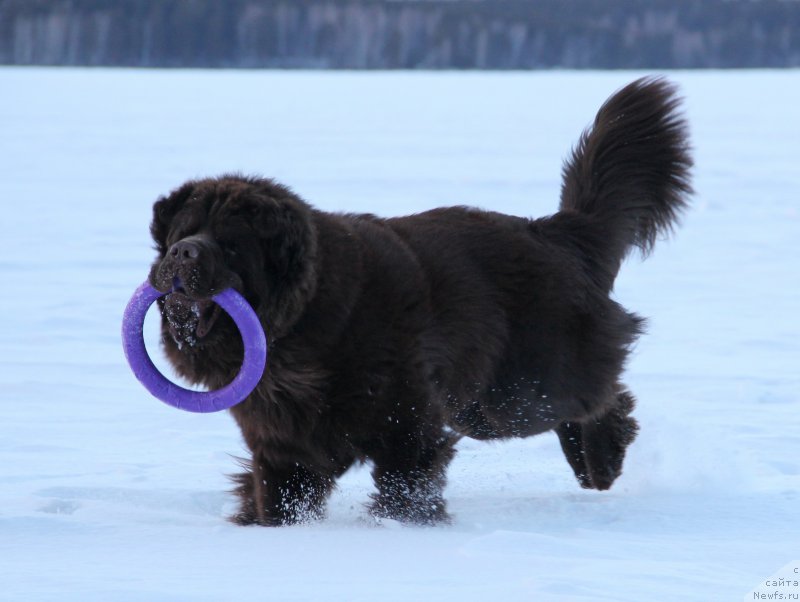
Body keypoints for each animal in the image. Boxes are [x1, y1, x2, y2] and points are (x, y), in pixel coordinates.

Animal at [150, 76, 692, 524]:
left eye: (231, 243)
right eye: (183, 231)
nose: (182, 252)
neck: (302, 324)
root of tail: (558, 231)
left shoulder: (404, 417)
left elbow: (406, 480)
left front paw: (406, 526)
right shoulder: (283, 440)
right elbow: (279, 495)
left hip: (520, 390)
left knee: (600, 396)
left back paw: (602, 459)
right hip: (483, 403)